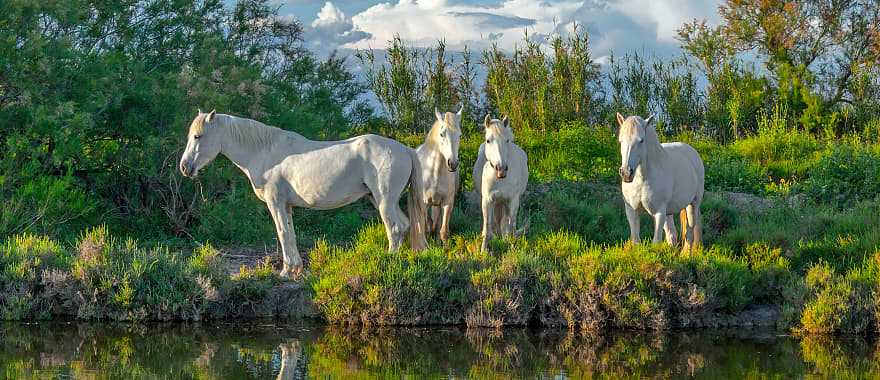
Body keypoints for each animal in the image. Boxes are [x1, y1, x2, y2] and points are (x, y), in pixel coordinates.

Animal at [179, 108, 426, 278]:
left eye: (198, 136)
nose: (184, 167)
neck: (265, 152)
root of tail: (405, 149)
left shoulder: (275, 203)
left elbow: (282, 233)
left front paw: (286, 272)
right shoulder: (286, 206)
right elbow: (290, 233)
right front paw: (294, 269)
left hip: (384, 201)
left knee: (394, 228)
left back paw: (388, 261)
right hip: (379, 200)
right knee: (405, 225)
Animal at [416, 107, 464, 243]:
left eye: (459, 135)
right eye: (442, 134)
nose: (453, 164)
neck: (434, 172)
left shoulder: (447, 202)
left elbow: (443, 231)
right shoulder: (424, 202)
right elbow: (427, 226)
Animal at [474, 116, 528, 252]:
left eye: (507, 140)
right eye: (488, 140)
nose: (501, 169)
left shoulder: (513, 201)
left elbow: (511, 226)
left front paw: (512, 247)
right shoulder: (487, 201)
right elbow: (487, 227)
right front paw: (483, 251)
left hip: (504, 203)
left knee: (505, 222)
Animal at [616, 113, 704, 249]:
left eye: (641, 140)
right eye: (621, 140)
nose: (626, 173)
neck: (642, 180)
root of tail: (693, 153)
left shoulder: (659, 212)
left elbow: (656, 242)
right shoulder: (631, 211)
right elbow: (636, 240)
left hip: (693, 204)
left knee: (689, 233)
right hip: (669, 212)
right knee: (672, 235)